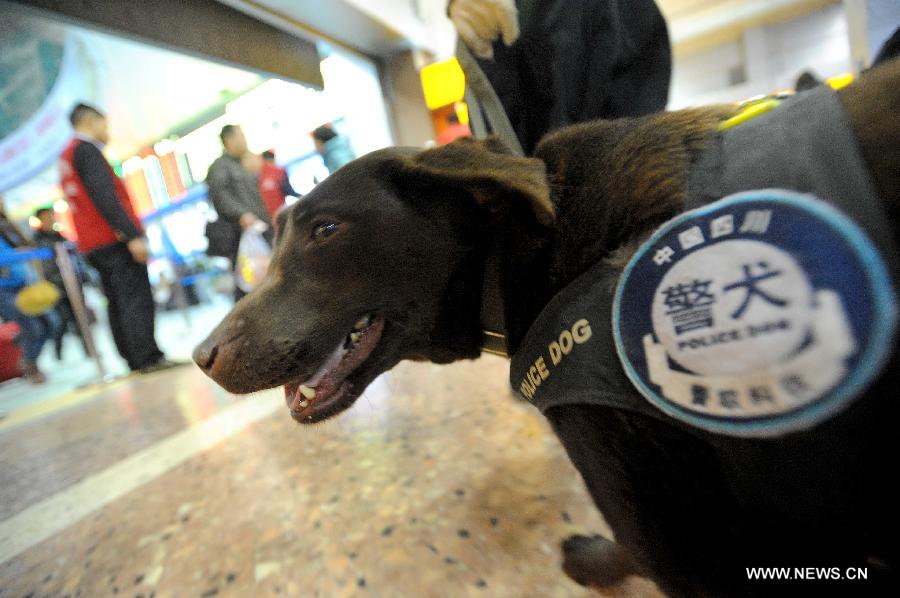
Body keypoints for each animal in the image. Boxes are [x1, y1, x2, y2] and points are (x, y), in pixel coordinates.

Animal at [197, 59, 900, 596]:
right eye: (278, 236)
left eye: (326, 230)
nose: (203, 356)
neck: (526, 250)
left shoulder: (683, 540)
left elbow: (634, 549)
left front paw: (594, 559)